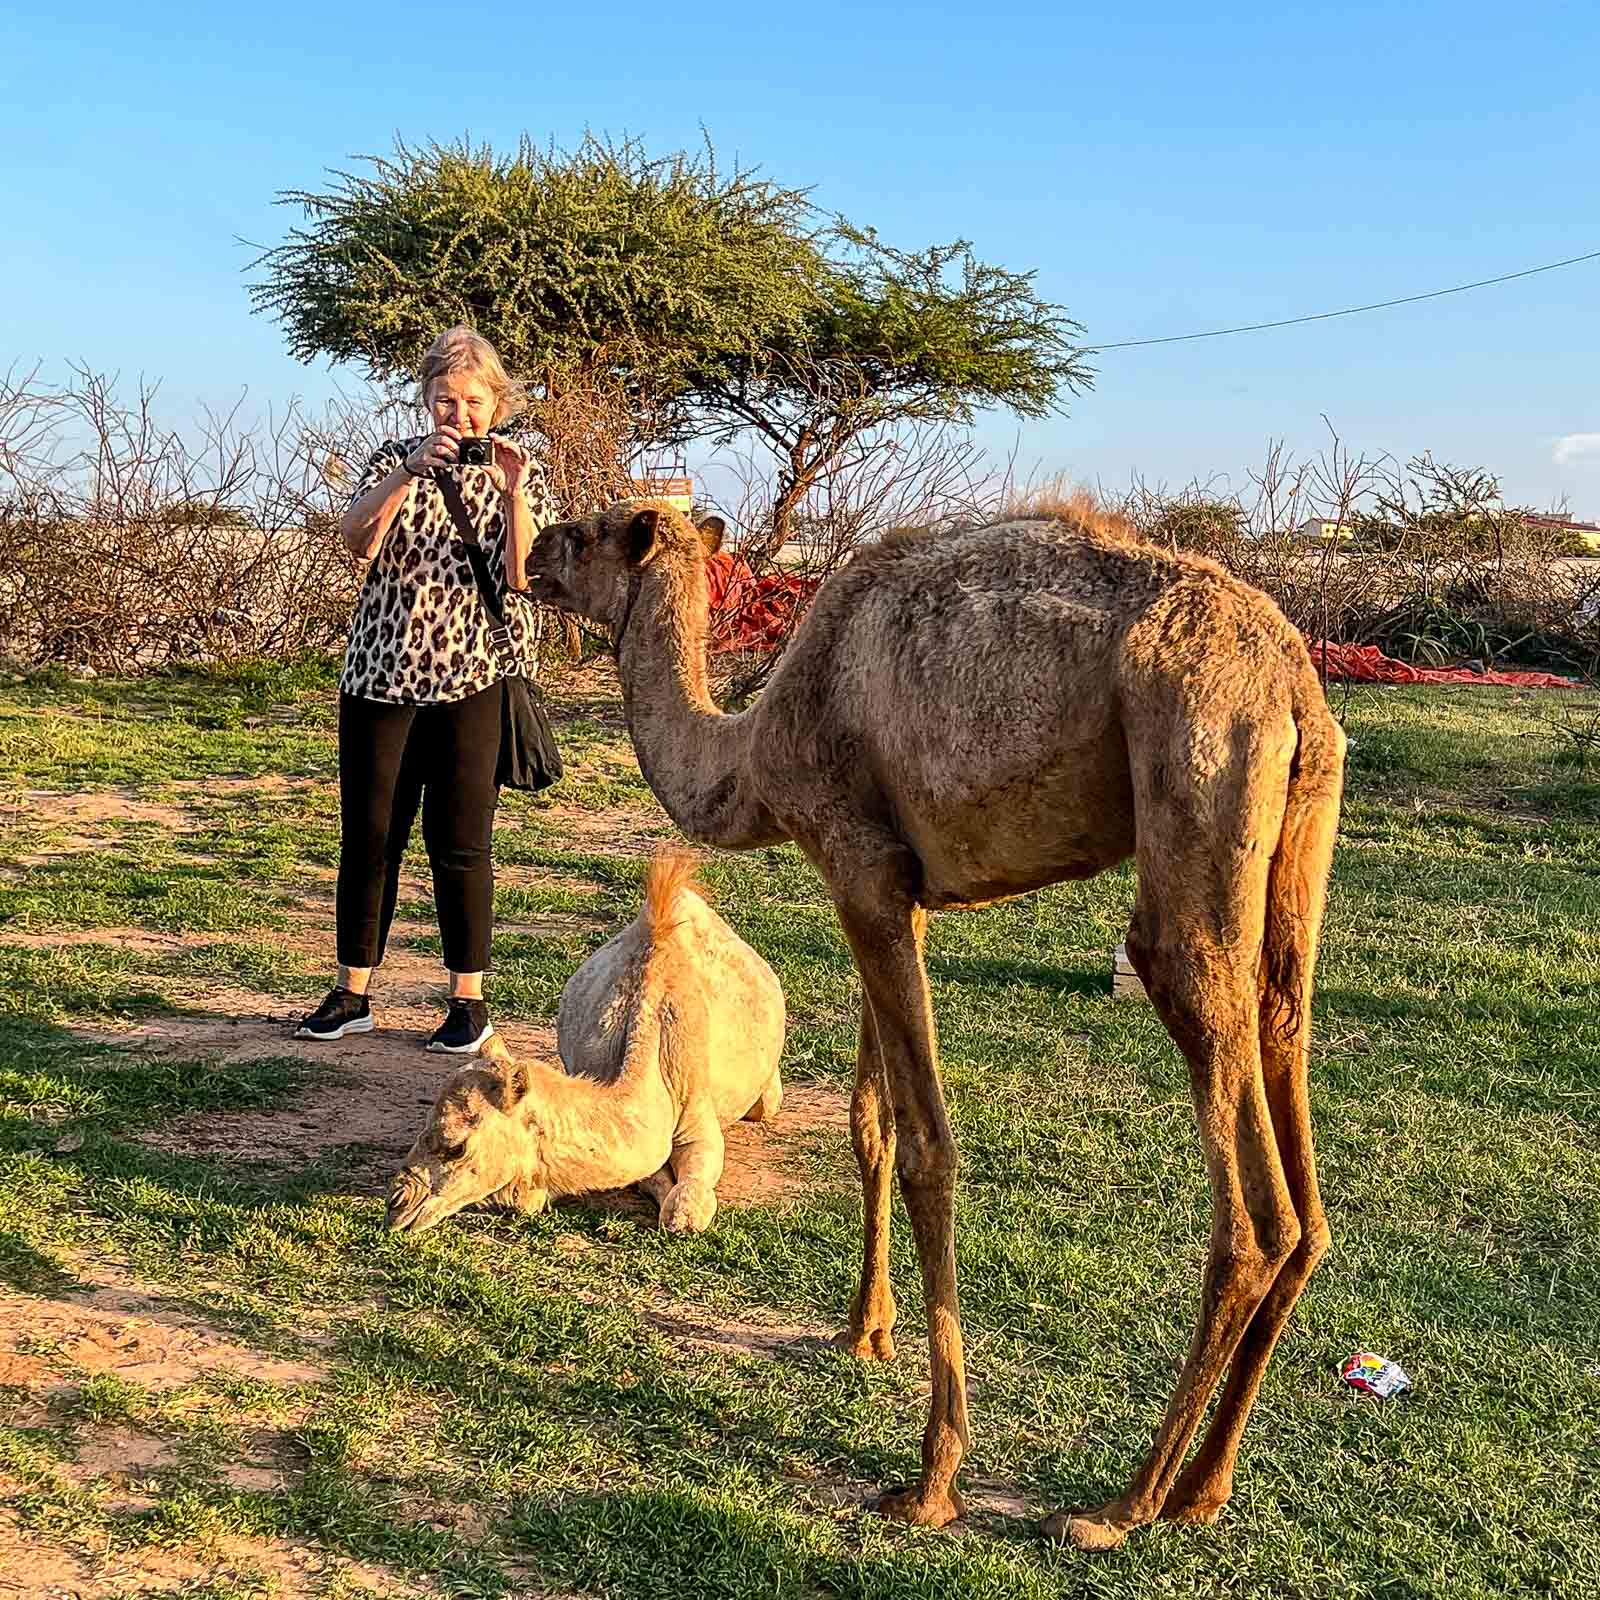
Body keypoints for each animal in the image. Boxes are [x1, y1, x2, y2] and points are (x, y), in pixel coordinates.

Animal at [385, 852, 786, 1236]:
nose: (396, 1204)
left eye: (457, 1148)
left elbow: (691, 1185)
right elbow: (650, 1176)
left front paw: (683, 1218)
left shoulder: (695, 1105)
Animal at [524, 491, 1345, 1551]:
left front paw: (931, 1478)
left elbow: (926, 1150)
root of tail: (1292, 682)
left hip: (1200, 768)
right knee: (1293, 1082)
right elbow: (869, 1123)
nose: (528, 555)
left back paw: (1121, 1505)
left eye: (589, 530)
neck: (753, 753)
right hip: (1296, 835)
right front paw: (863, 1331)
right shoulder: (897, 892)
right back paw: (1205, 1487)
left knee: (1253, 1204)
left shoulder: (859, 860)